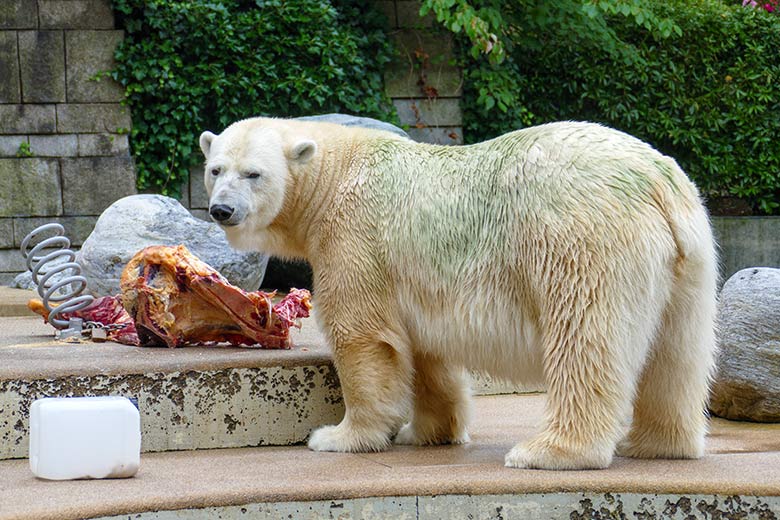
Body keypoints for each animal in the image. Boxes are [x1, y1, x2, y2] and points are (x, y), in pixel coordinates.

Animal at [200, 118, 720, 472]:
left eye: (254, 174)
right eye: (215, 168)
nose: (221, 209)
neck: (335, 176)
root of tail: (658, 182)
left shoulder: (354, 237)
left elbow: (363, 336)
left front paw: (340, 436)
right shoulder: (416, 278)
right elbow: (428, 353)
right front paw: (428, 431)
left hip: (580, 239)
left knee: (584, 337)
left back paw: (550, 451)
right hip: (690, 257)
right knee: (678, 350)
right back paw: (658, 444)